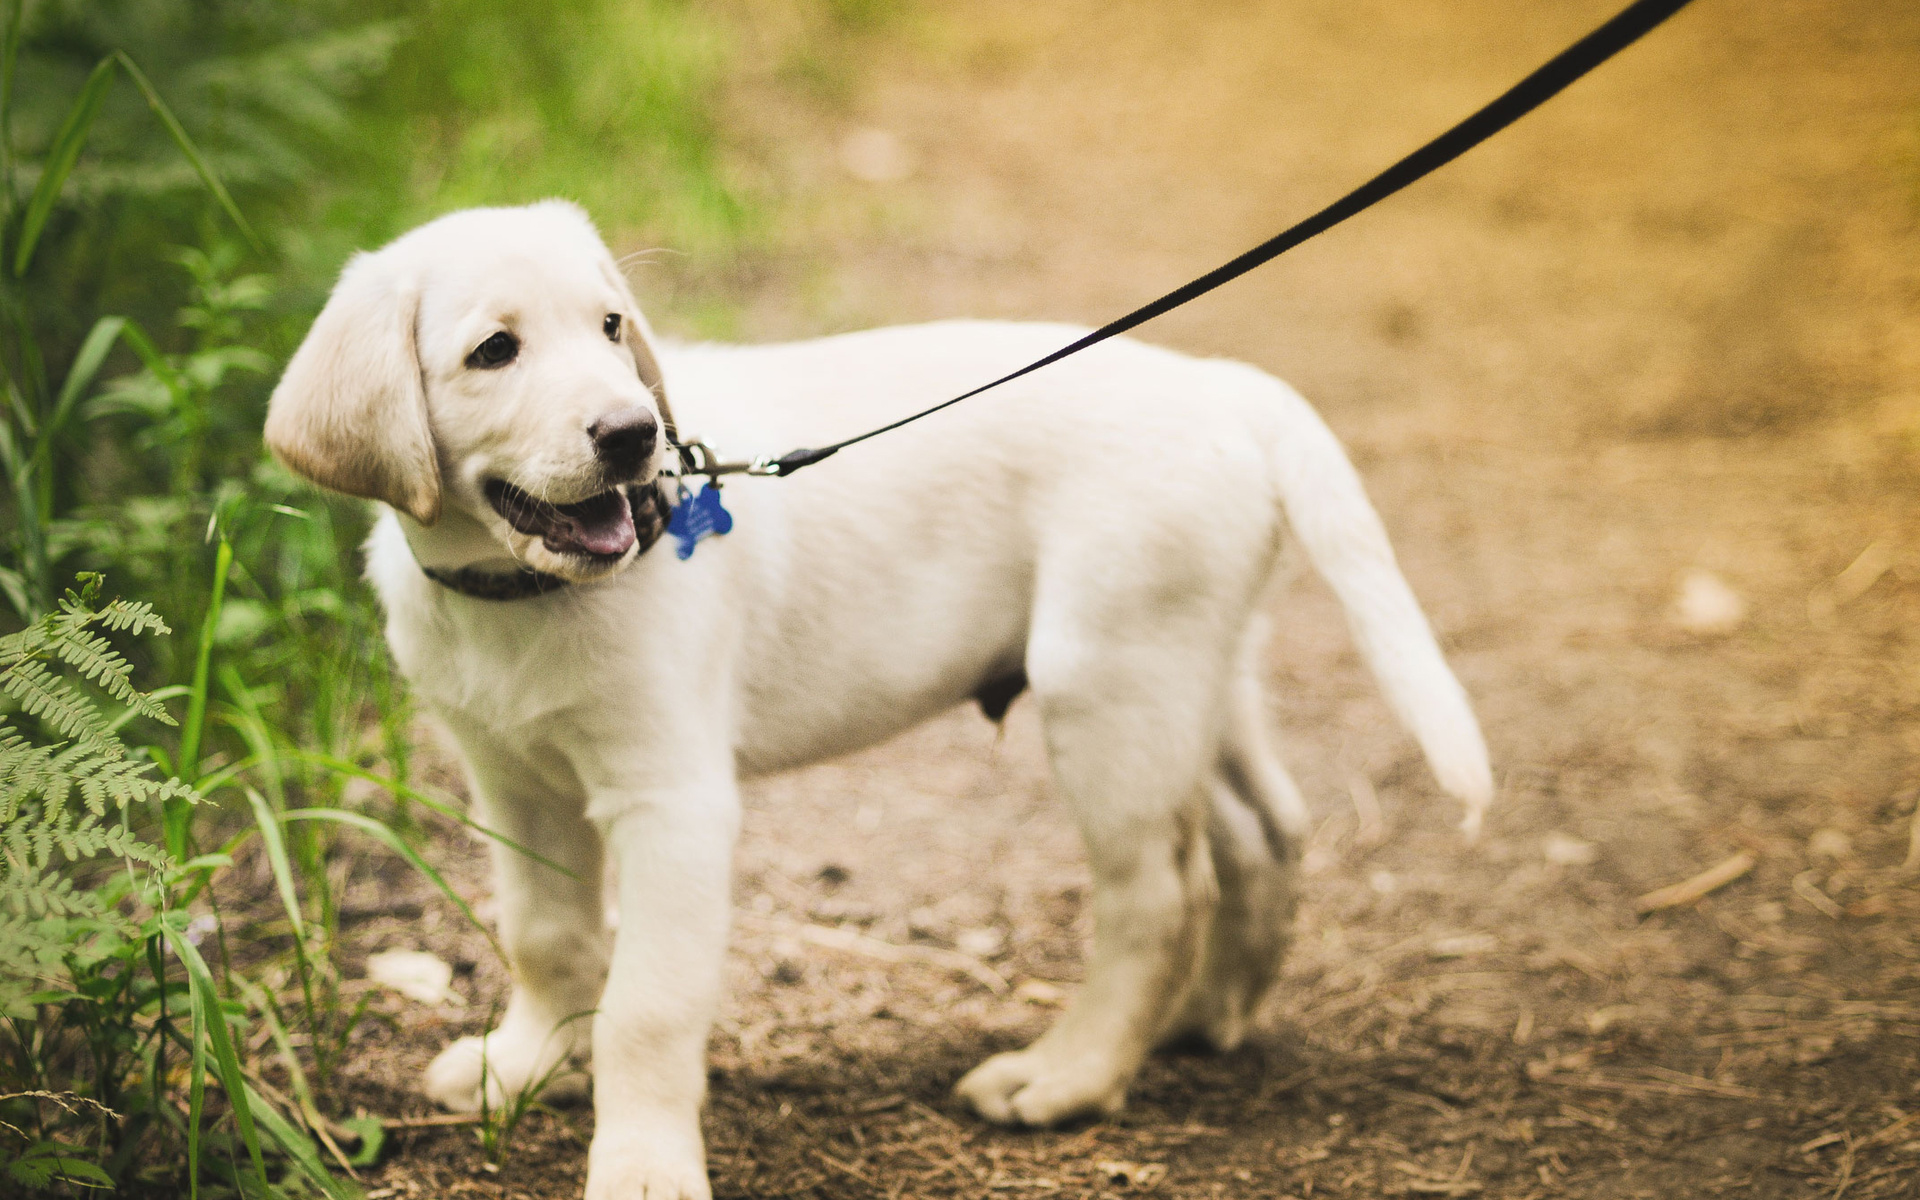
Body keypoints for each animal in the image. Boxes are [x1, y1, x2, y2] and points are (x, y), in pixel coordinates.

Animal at [263, 203, 1489, 1198]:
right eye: (494, 352)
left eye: (612, 327)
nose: (634, 434)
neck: (520, 597)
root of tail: (1215, 379)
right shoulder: (512, 779)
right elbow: (544, 934)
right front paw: (529, 1066)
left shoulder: (671, 803)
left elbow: (649, 1006)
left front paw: (640, 1163)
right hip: (1194, 667)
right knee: (1262, 829)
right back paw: (1201, 1021)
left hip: (1112, 686)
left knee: (1158, 893)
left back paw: (1068, 1076)